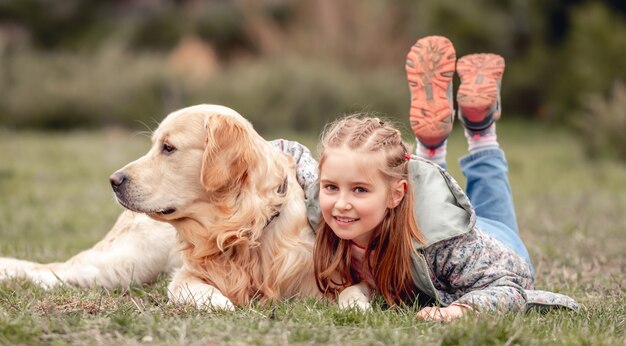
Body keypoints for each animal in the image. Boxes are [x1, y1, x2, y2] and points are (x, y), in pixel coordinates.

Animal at [0, 103, 320, 308]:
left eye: (168, 148)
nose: (113, 180)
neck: (239, 230)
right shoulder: (185, 278)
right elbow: (206, 294)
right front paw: (225, 302)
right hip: (123, 263)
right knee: (49, 271)